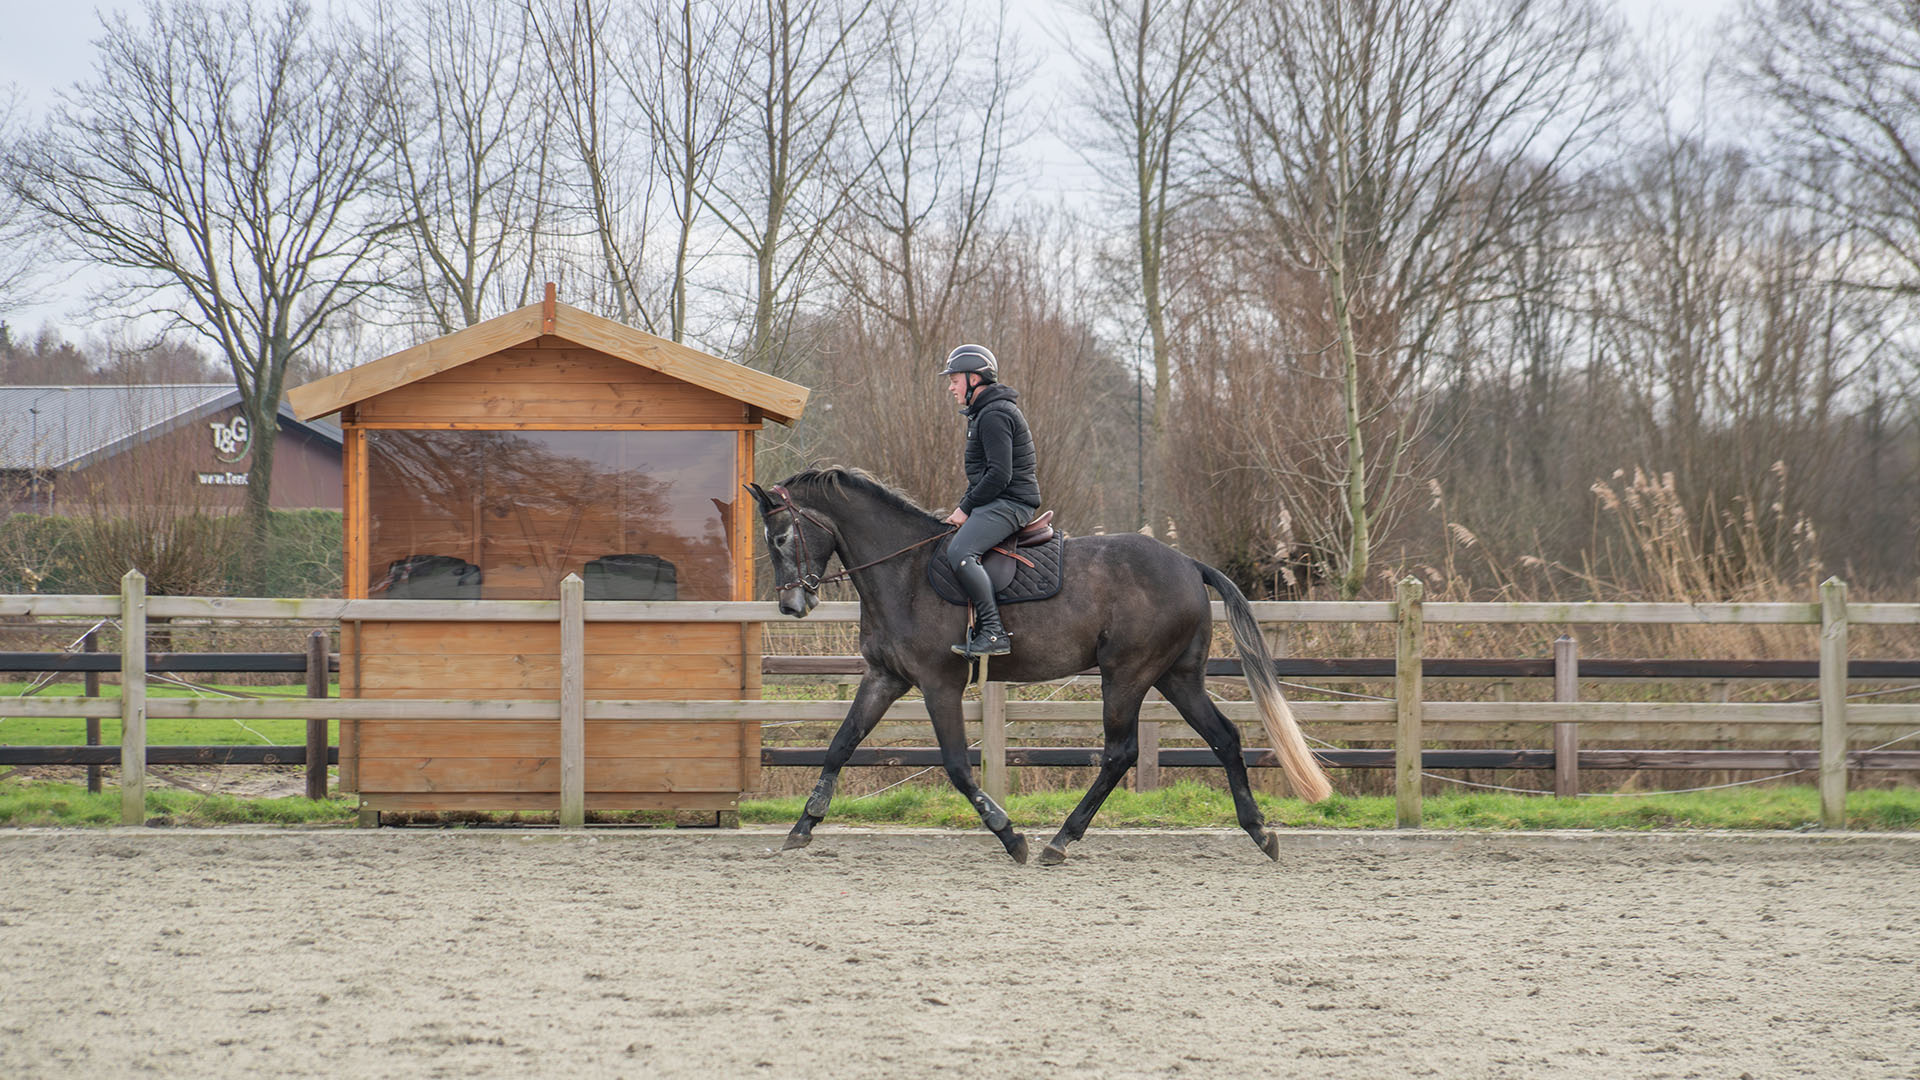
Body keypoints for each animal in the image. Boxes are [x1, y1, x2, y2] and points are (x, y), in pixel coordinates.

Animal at [741, 466, 1328, 860]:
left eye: (781, 535)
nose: (793, 606)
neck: (903, 572)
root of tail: (1187, 562)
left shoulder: (937, 684)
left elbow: (956, 765)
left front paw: (1010, 834)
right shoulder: (884, 678)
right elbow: (840, 744)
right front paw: (804, 825)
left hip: (1127, 675)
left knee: (1120, 753)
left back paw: (1060, 840)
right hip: (1176, 677)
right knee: (1224, 737)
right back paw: (1260, 832)